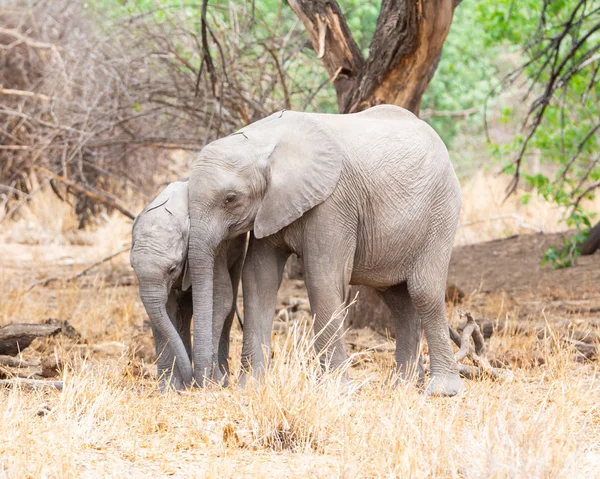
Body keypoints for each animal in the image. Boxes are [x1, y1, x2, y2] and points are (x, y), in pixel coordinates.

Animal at [131, 178, 244, 392]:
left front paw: (212, 382)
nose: (190, 379)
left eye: (172, 268)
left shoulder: (215, 249)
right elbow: (164, 311)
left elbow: (220, 296)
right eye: (133, 267)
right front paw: (168, 388)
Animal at [188, 105, 464, 398]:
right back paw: (401, 386)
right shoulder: (272, 206)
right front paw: (250, 387)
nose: (210, 383)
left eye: (230, 199)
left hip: (441, 210)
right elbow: (258, 278)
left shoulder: (332, 203)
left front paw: (335, 391)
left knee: (424, 291)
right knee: (398, 300)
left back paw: (442, 390)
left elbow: (323, 279)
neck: (263, 140)